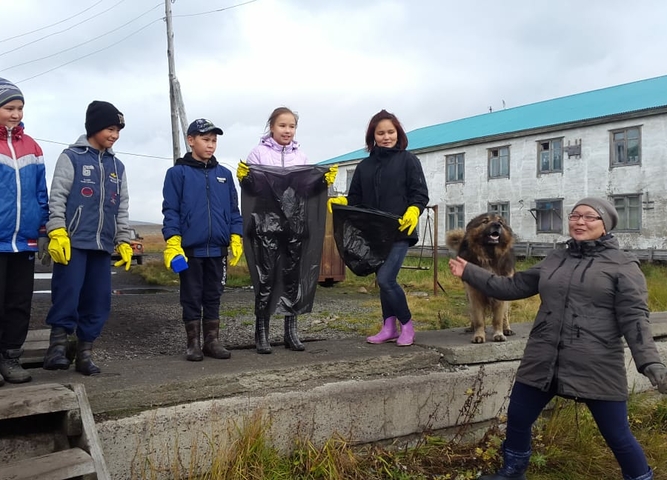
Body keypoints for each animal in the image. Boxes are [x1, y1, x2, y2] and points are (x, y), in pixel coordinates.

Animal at [448, 212, 516, 344]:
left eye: (500, 221)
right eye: (485, 221)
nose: (497, 225)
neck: (489, 256)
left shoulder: (500, 293)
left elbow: (498, 318)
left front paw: (498, 334)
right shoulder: (474, 293)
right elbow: (479, 318)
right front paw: (478, 335)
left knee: (505, 314)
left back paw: (507, 328)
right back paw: (473, 327)